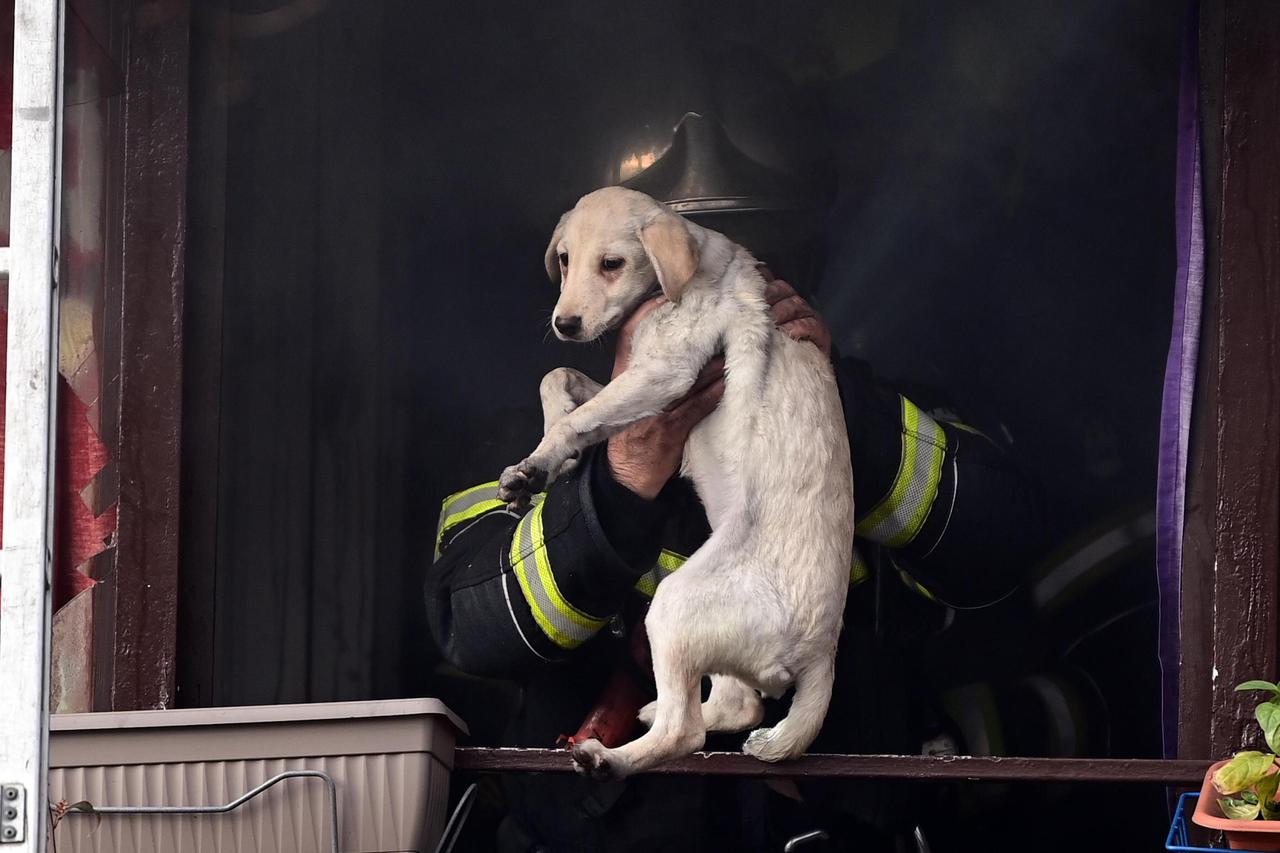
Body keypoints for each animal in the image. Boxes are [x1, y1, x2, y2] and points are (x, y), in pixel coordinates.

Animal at [496, 185, 849, 778]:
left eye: (612, 264)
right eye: (564, 259)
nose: (565, 324)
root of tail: (822, 654)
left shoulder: (664, 374)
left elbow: (575, 414)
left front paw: (542, 461)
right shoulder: (629, 377)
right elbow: (559, 380)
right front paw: (550, 459)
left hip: (673, 607)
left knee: (685, 731)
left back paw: (607, 759)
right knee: (735, 705)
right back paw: (651, 712)